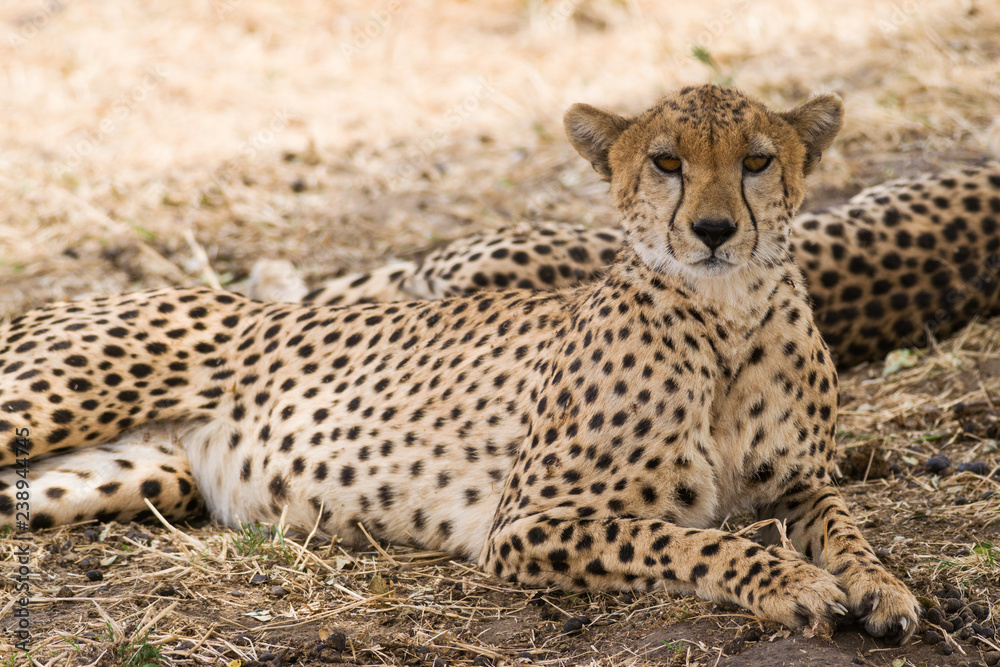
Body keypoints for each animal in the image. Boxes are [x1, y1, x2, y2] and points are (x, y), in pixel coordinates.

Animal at [0, 85, 921, 643]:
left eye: (757, 161)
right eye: (667, 162)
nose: (715, 230)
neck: (725, 320)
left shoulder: (799, 483)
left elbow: (848, 526)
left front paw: (882, 586)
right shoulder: (526, 523)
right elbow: (688, 540)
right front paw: (793, 582)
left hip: (136, 476)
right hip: (53, 402)